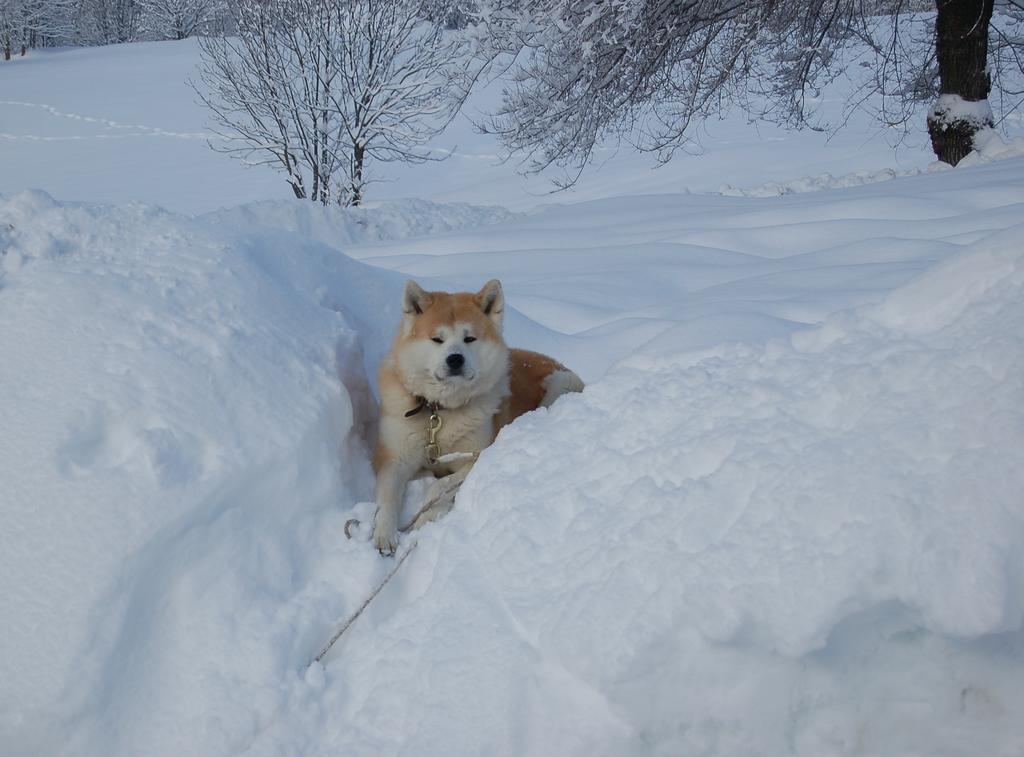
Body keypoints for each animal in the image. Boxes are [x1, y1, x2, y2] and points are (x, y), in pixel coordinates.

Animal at [374, 280, 585, 553]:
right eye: (437, 339)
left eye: (469, 338)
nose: (455, 359)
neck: (440, 413)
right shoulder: (394, 458)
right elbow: (387, 498)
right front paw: (384, 532)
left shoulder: (476, 457)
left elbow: (439, 486)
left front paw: (425, 519)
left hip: (560, 383)